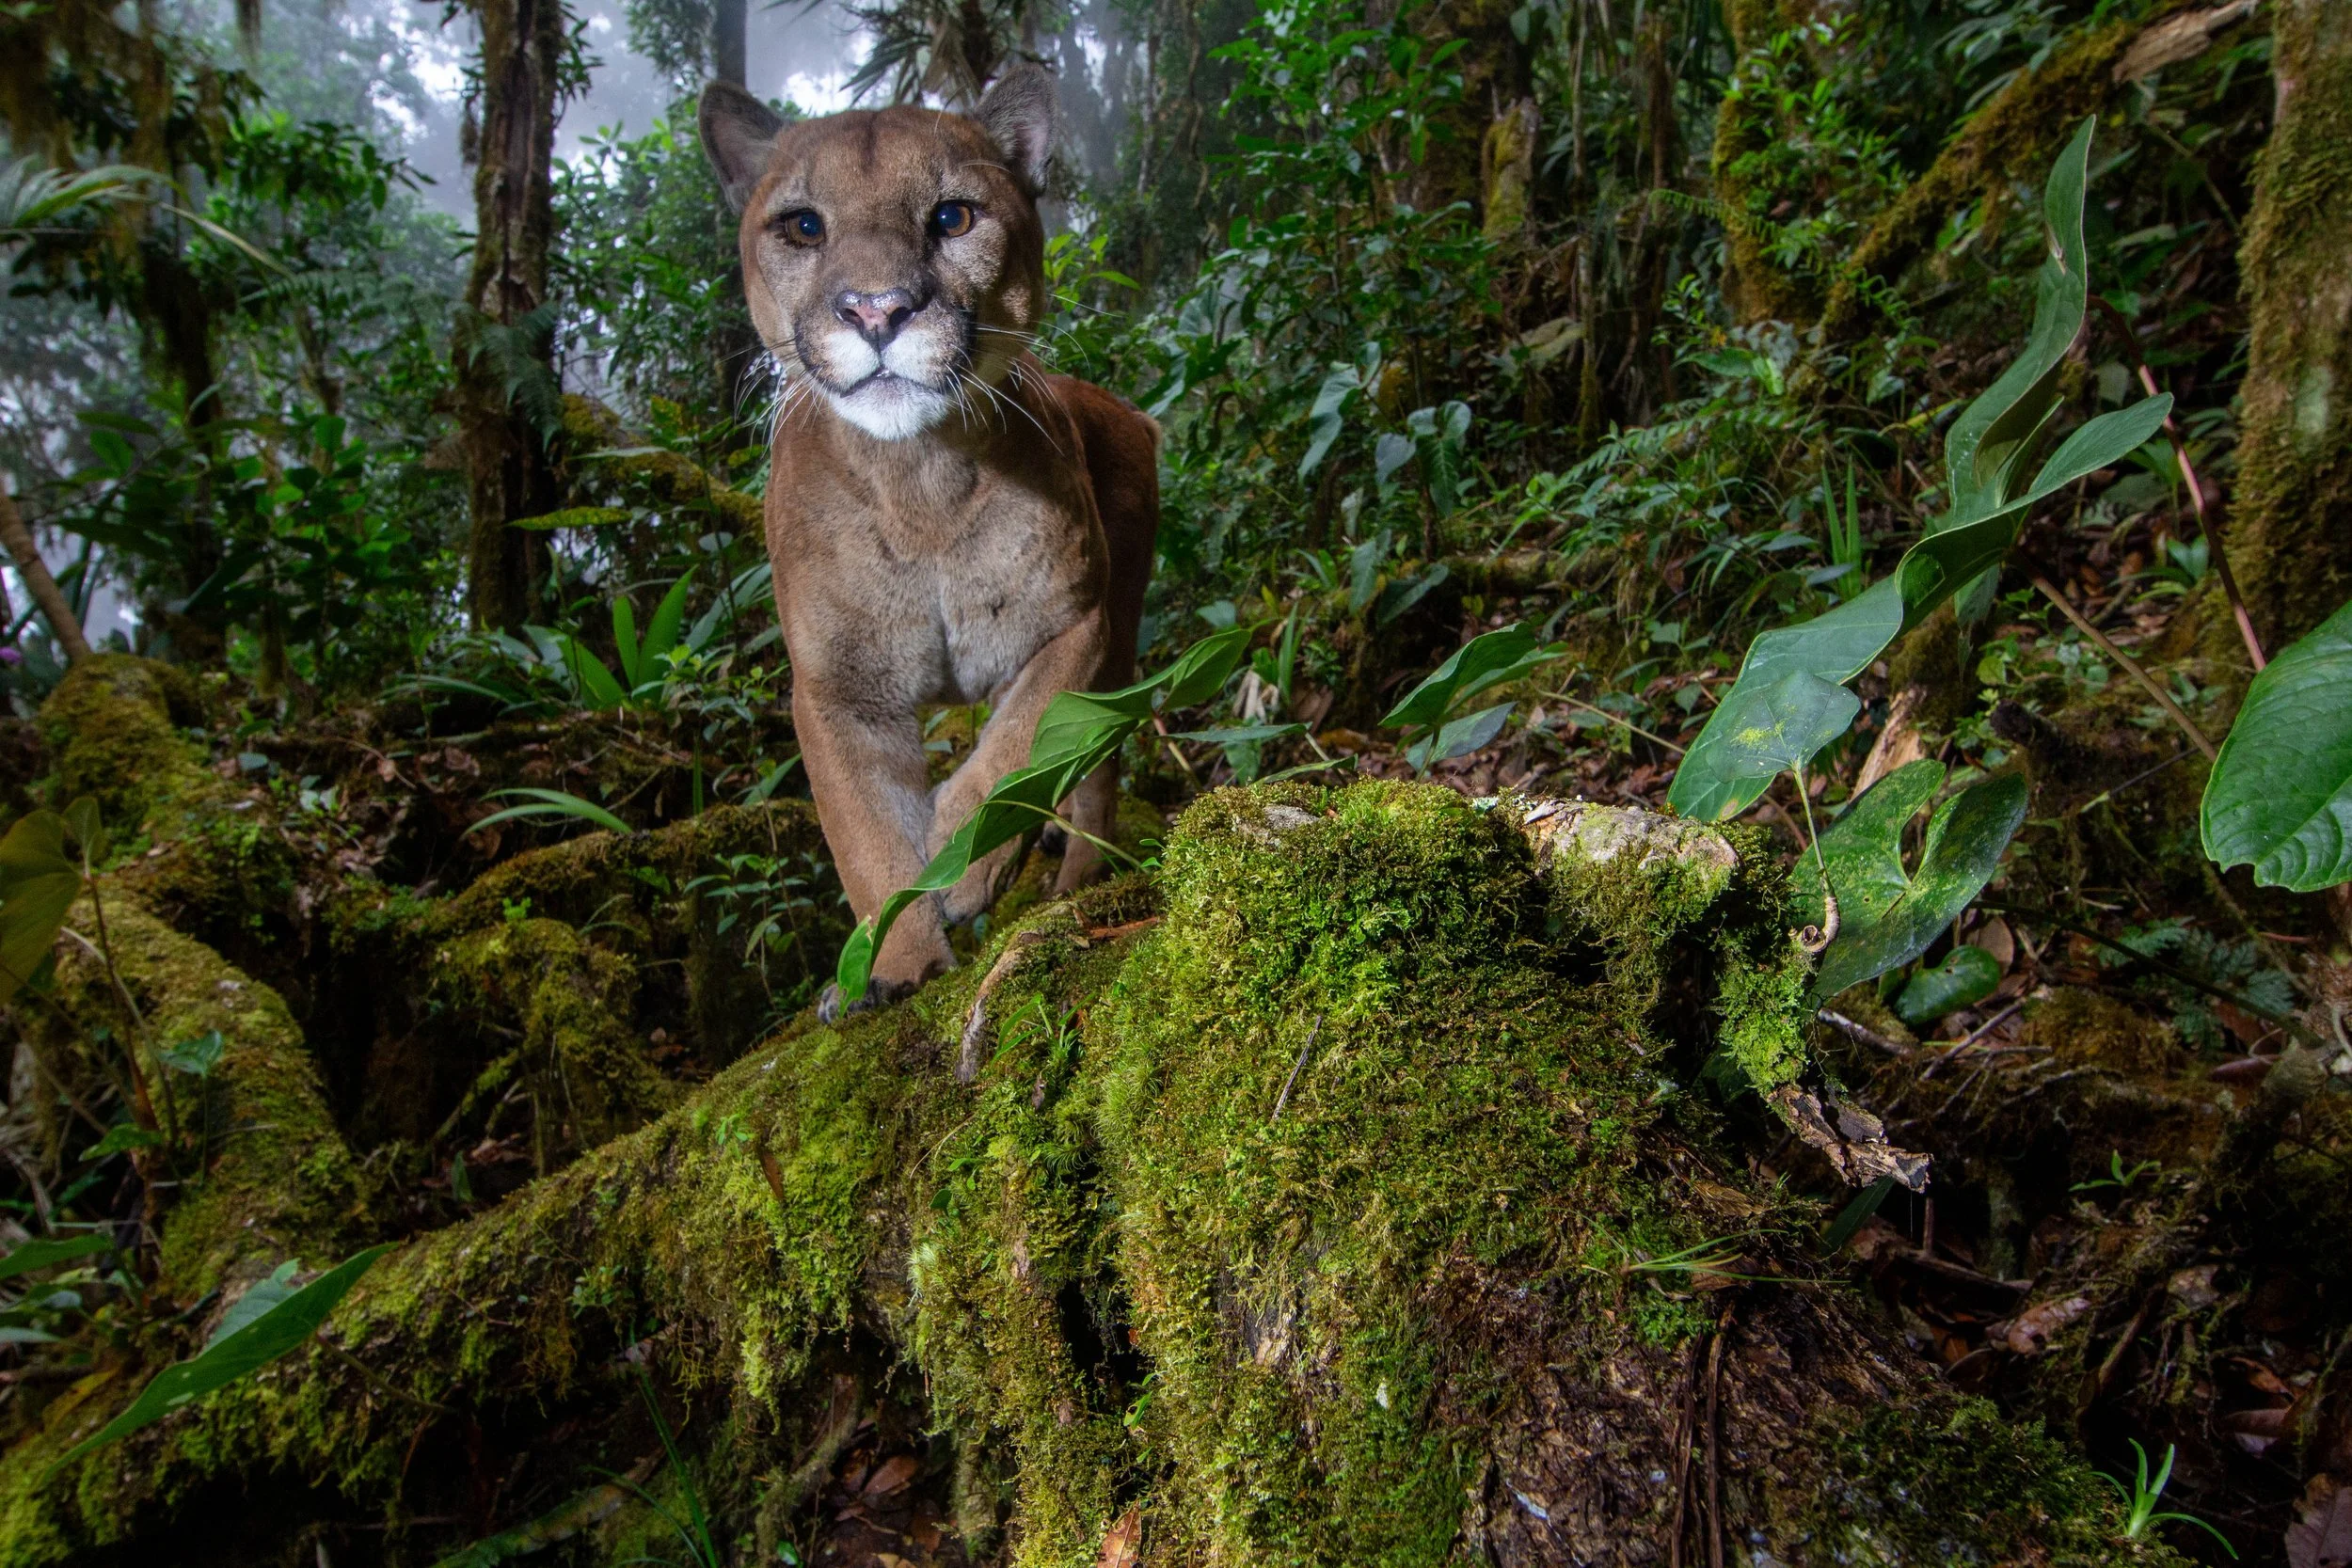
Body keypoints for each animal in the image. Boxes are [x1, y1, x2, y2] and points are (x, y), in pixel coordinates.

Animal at [698, 66, 1158, 1018]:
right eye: (803, 225)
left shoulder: (1077, 623)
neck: (920, 484)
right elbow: (866, 835)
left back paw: (1077, 882)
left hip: (1124, 634)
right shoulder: (836, 690)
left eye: (952, 217)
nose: (877, 309)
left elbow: (1023, 743)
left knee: (1097, 760)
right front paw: (895, 966)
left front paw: (967, 856)